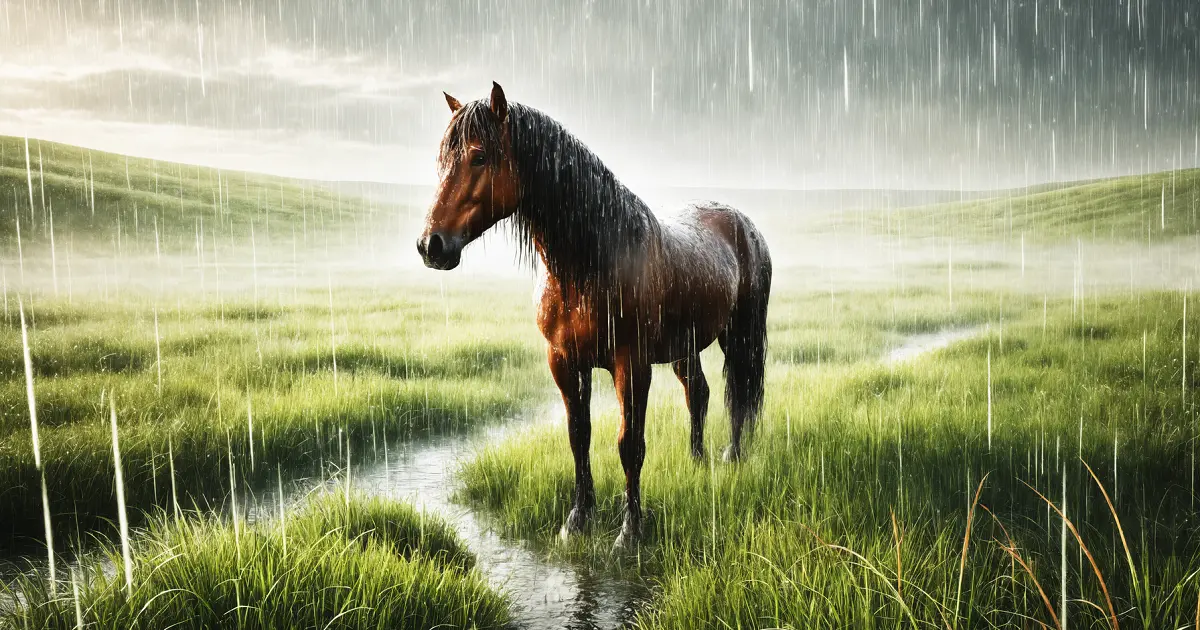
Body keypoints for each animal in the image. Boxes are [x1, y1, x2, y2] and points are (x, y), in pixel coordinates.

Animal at [417, 82, 772, 549]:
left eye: (478, 156)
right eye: (442, 158)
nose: (430, 245)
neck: (590, 263)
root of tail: (744, 223)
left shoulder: (632, 365)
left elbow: (629, 444)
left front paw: (629, 531)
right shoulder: (564, 362)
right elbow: (578, 436)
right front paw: (577, 519)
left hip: (738, 335)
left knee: (738, 394)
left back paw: (732, 456)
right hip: (686, 346)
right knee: (698, 393)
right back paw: (697, 461)